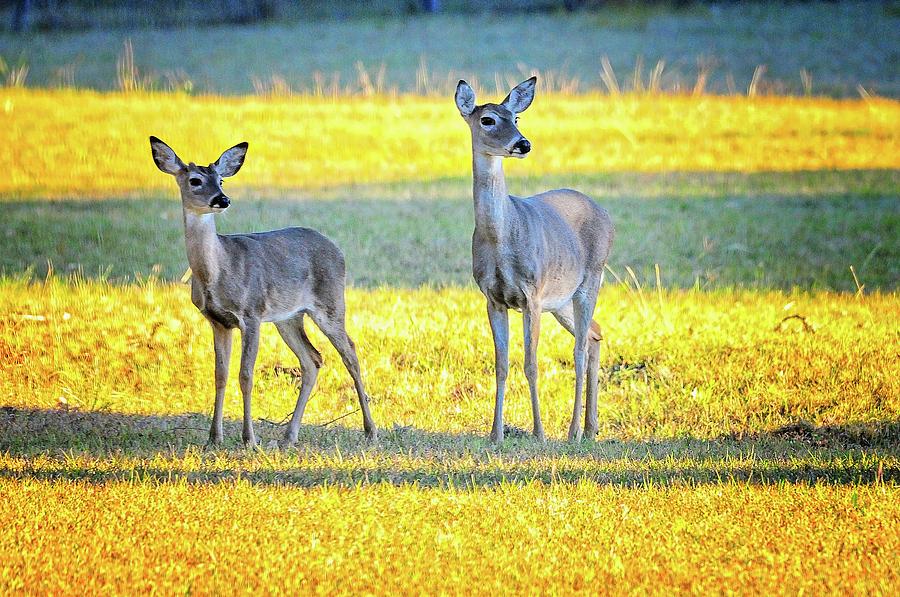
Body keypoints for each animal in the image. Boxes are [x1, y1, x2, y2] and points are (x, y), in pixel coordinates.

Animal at [148, 137, 376, 444]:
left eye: (221, 179)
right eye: (195, 180)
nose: (223, 199)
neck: (218, 269)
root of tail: (337, 249)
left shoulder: (251, 313)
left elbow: (245, 374)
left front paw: (250, 440)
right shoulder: (217, 321)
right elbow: (220, 374)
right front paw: (214, 438)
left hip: (330, 303)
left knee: (350, 353)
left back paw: (370, 429)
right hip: (288, 317)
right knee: (312, 359)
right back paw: (289, 435)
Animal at [454, 78, 616, 442]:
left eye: (516, 118)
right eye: (487, 119)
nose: (523, 143)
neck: (501, 238)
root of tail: (605, 213)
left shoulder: (533, 294)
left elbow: (531, 363)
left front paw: (539, 433)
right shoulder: (493, 298)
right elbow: (501, 365)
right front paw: (495, 434)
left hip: (590, 279)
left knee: (580, 349)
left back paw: (573, 432)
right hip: (562, 301)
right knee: (595, 334)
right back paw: (591, 427)